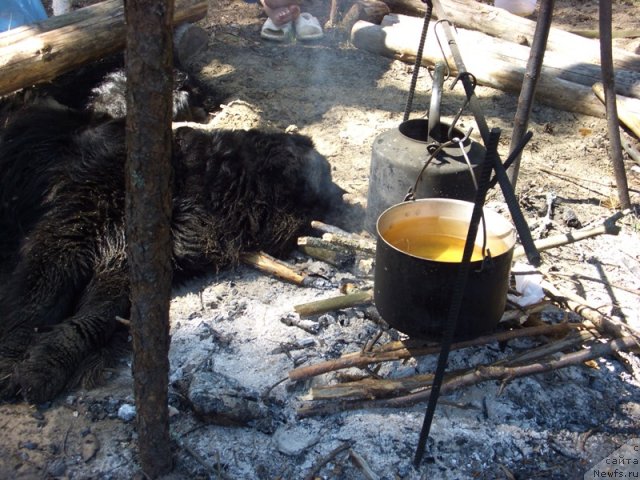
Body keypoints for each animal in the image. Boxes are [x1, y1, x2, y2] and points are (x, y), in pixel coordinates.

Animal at [0, 69, 344, 404]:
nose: (340, 195)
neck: (193, 184)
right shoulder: (67, 233)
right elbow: (37, 302)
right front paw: (10, 360)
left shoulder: (127, 261)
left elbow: (94, 319)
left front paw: (46, 363)